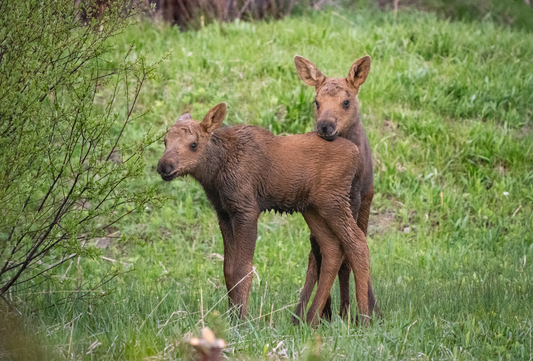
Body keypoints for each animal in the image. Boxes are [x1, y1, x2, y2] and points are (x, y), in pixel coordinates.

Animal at [158, 102, 372, 324]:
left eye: (193, 144)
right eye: (165, 141)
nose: (164, 166)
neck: (215, 173)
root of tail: (356, 152)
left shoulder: (247, 210)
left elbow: (242, 270)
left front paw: (242, 320)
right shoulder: (224, 213)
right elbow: (228, 269)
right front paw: (231, 316)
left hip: (333, 202)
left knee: (357, 243)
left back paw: (363, 318)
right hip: (312, 209)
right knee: (332, 248)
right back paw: (310, 319)